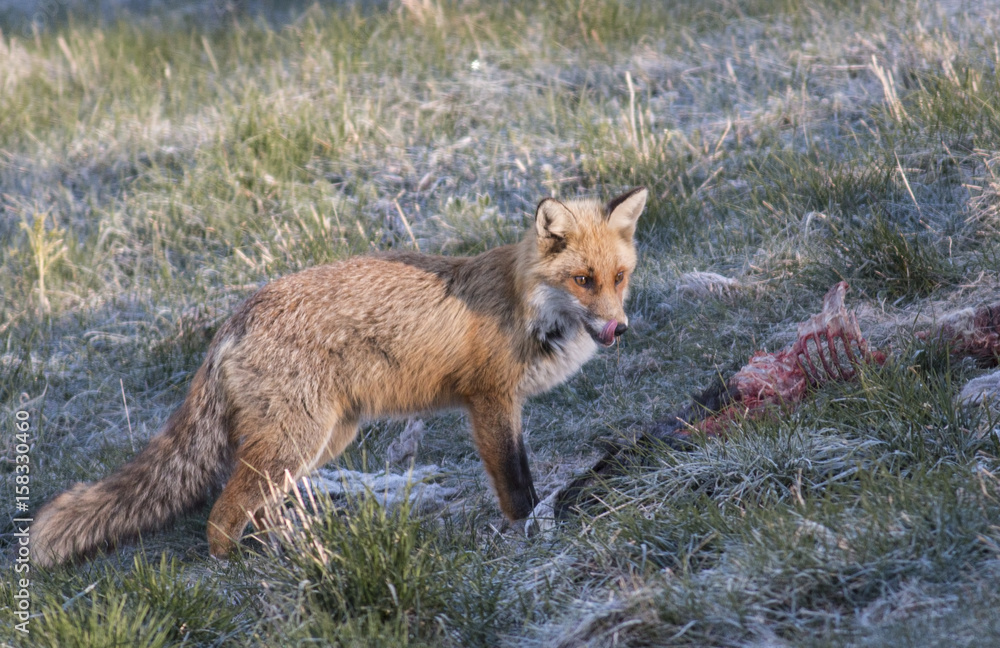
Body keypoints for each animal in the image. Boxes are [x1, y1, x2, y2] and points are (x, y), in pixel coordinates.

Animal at [31, 187, 648, 567]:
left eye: (618, 277)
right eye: (583, 279)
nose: (618, 328)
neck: (526, 309)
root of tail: (235, 317)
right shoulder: (491, 401)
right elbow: (517, 484)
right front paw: (530, 533)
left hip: (322, 440)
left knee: (259, 505)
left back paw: (289, 549)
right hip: (295, 440)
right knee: (221, 516)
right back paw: (240, 567)